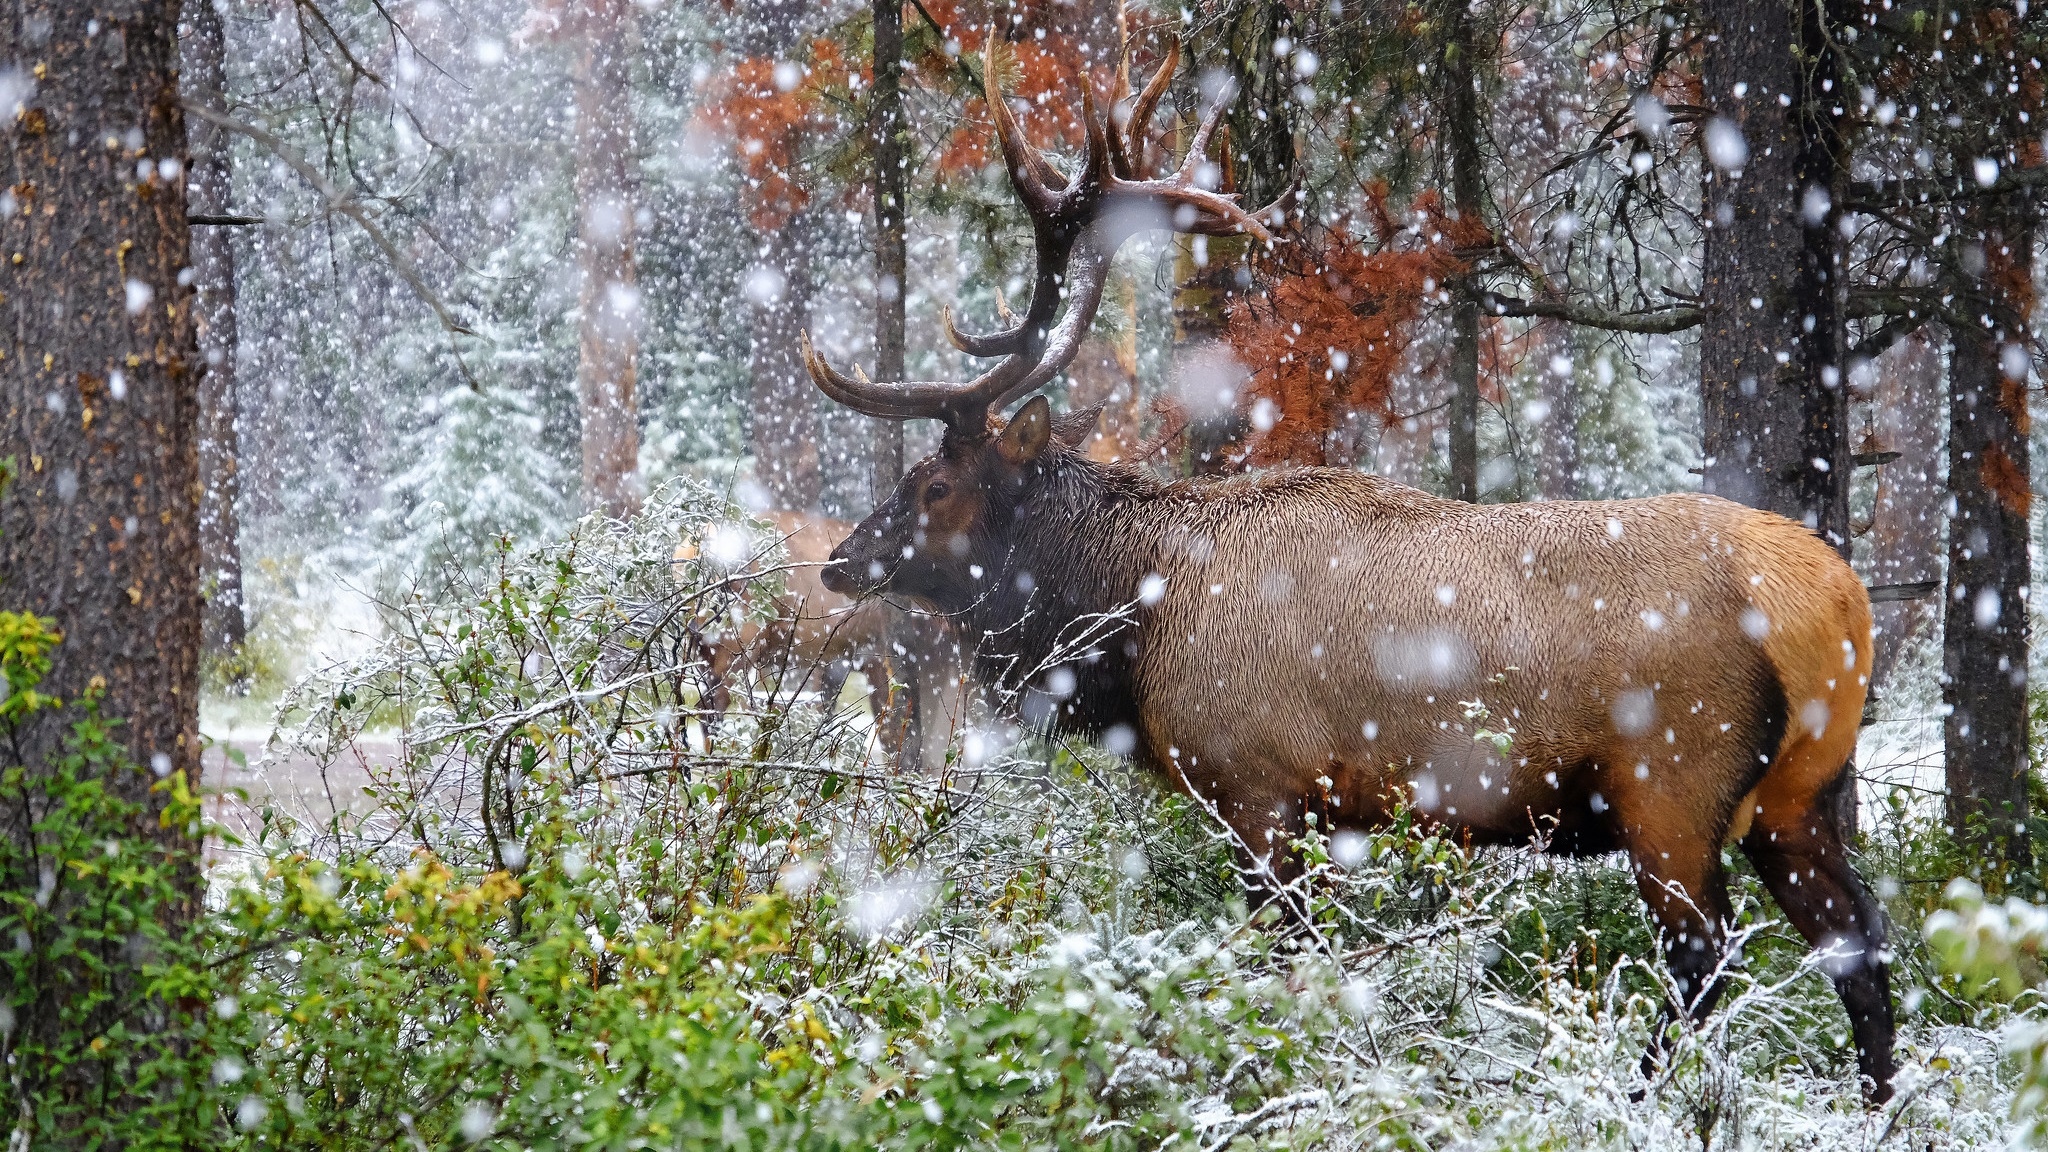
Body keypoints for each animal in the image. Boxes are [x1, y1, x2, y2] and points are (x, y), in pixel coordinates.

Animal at [806, 33, 1892, 1090]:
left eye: (933, 487)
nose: (840, 562)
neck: (1134, 622)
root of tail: (1834, 596)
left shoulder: (1260, 784)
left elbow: (1287, 958)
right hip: (1797, 793)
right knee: (1860, 941)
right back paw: (1879, 1105)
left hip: (1671, 783)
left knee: (1704, 956)